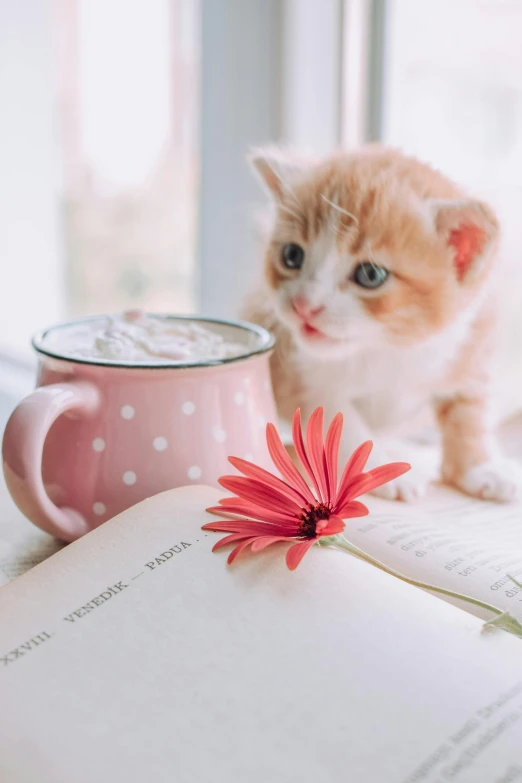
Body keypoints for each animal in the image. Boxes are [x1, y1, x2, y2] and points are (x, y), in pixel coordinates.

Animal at [241, 143, 520, 502]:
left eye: (370, 275)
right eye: (292, 256)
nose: (304, 305)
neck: (388, 346)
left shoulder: (471, 339)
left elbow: (470, 410)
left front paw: (481, 466)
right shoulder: (302, 376)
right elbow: (343, 423)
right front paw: (383, 471)